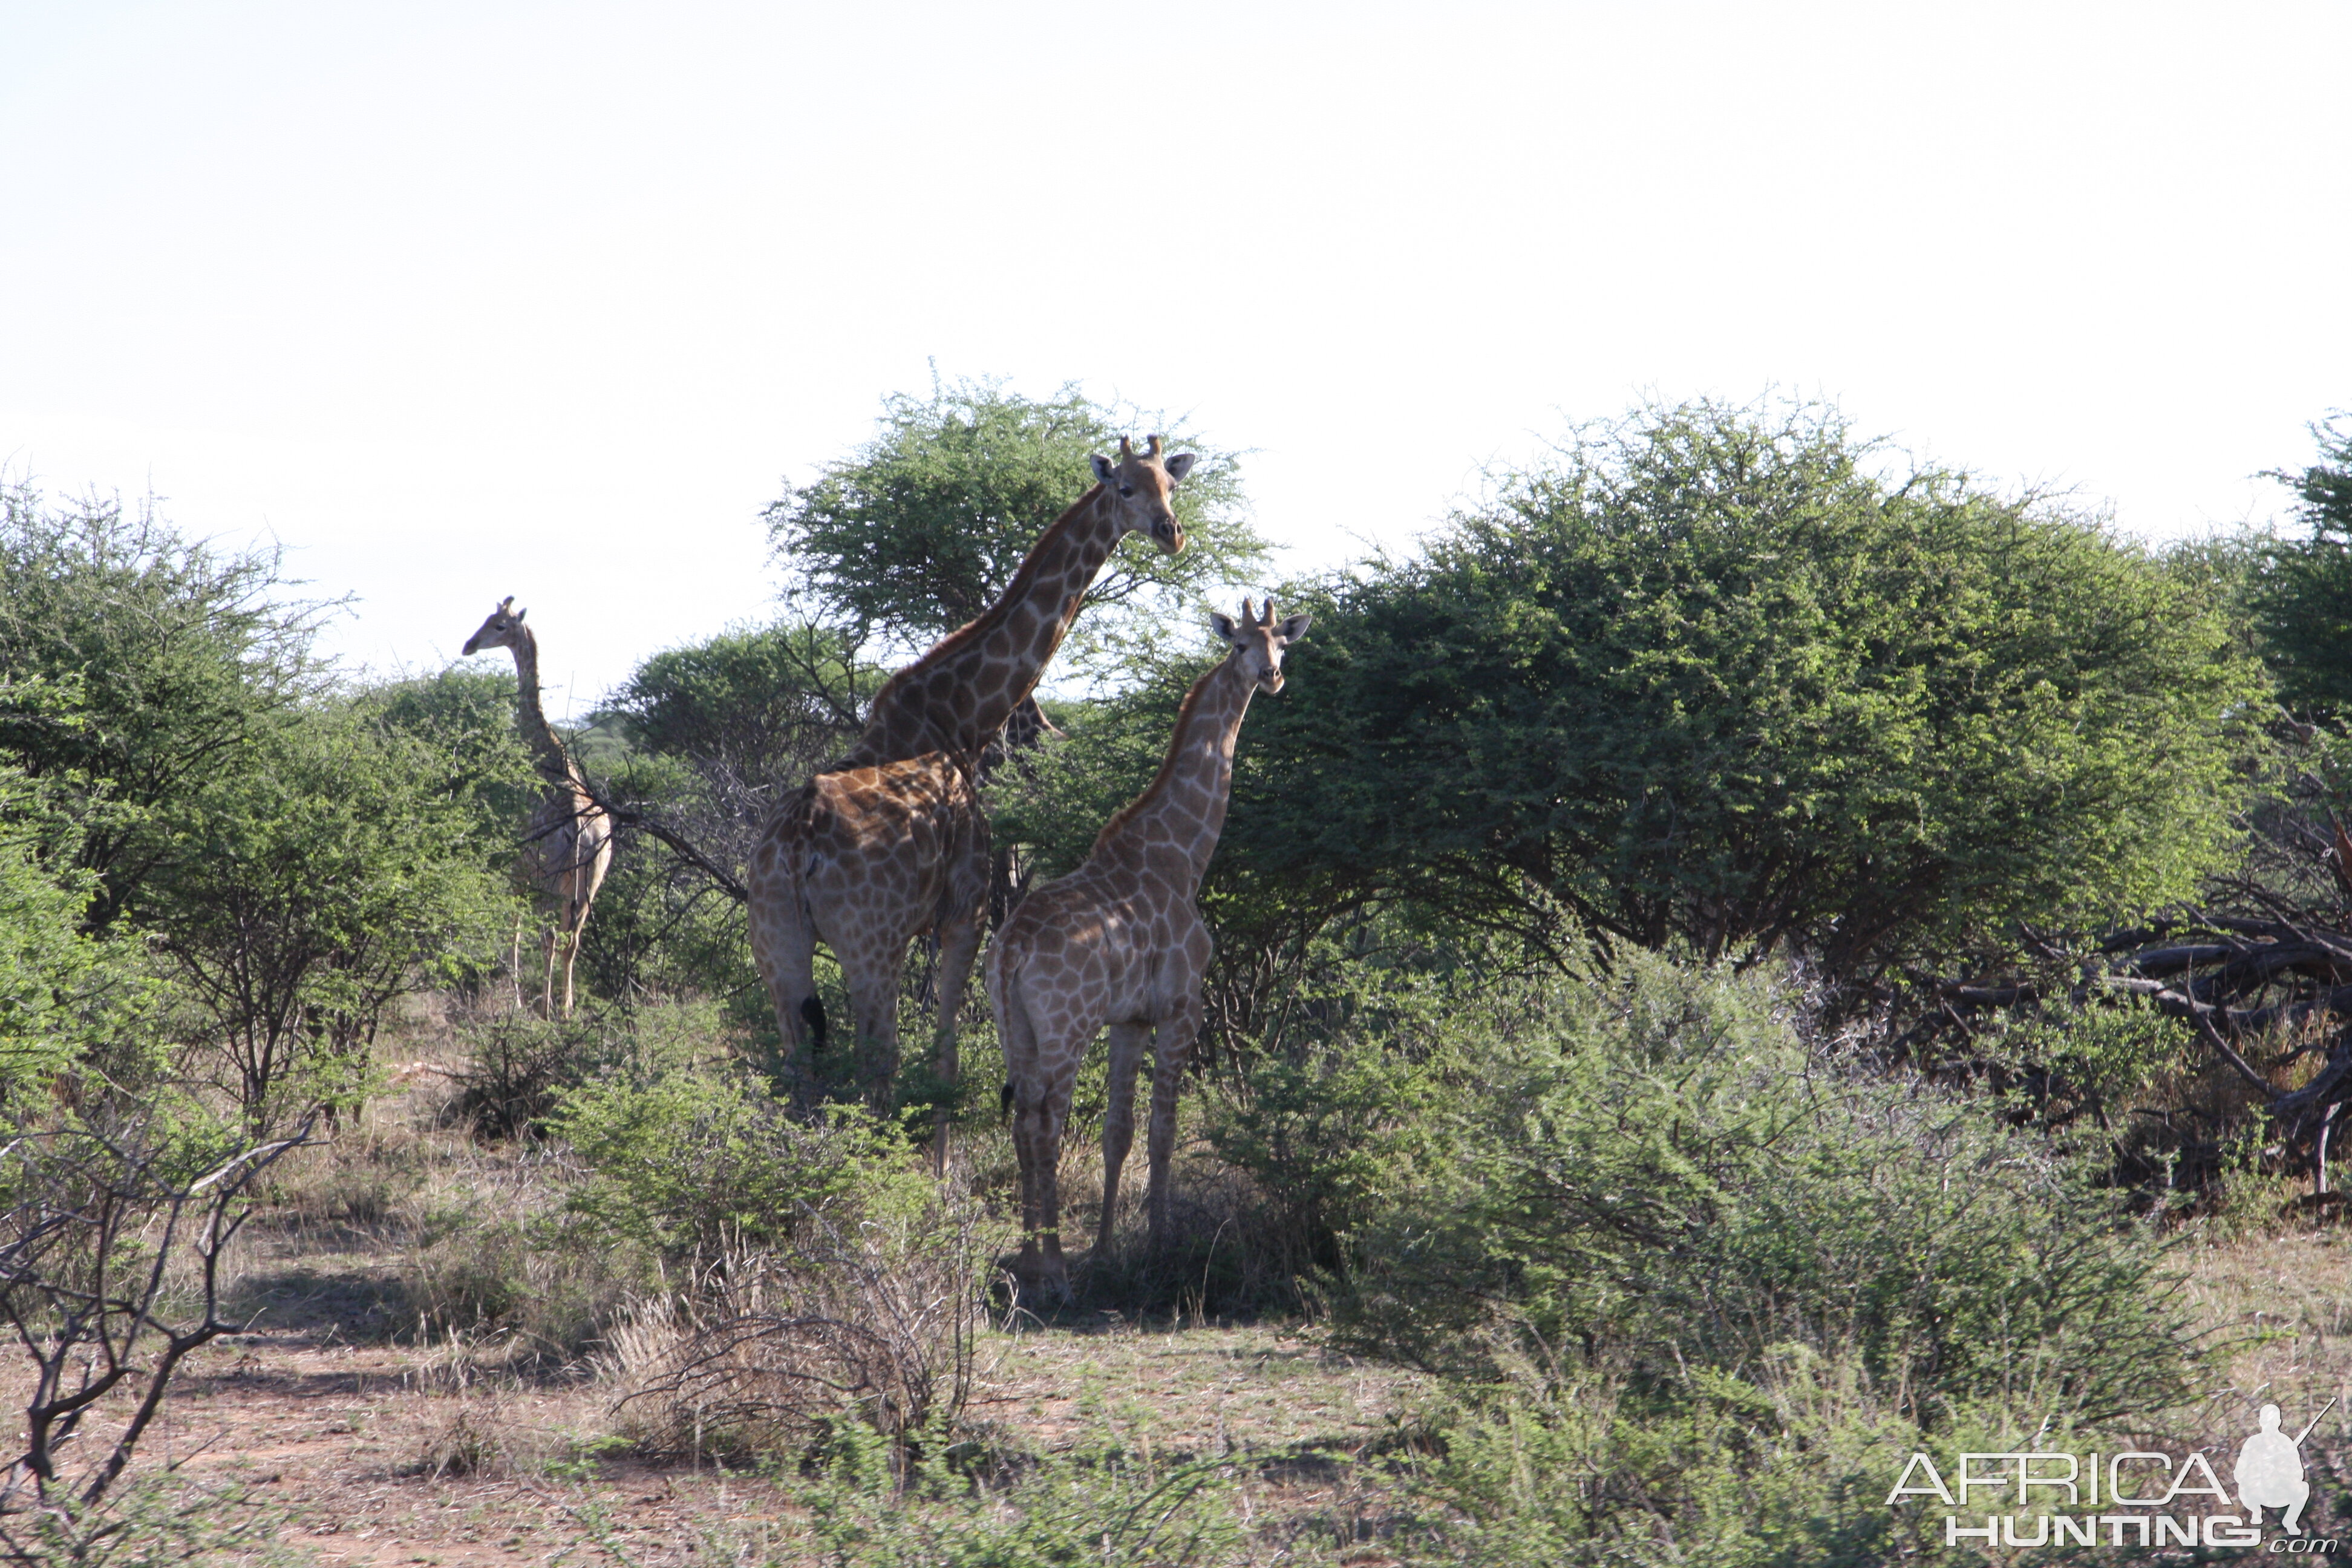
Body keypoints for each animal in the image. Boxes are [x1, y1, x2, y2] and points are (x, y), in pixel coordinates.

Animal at [461, 597, 616, 1020]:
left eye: (499, 625)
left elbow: (515, 927)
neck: (542, 751)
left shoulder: (519, 865)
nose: (468, 645)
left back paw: (546, 1009)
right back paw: (566, 1008)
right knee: (573, 939)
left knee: (550, 936)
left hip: (553, 877)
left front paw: (516, 1001)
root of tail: (581, 830)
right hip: (591, 880)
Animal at [743, 439, 1195, 1128]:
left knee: (798, 1064)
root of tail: (796, 849)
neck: (960, 718)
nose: (1171, 532)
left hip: (775, 944)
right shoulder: (967, 905)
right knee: (877, 1066)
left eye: (1171, 485)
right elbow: (948, 1059)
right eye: (1125, 488)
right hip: (870, 945)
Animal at [973, 595, 1307, 1298]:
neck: (1183, 856)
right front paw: (1157, 1245)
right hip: (1067, 1027)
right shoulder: (1183, 1008)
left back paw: (1032, 1259)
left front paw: (1106, 1248)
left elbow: (1118, 1132)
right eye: (1240, 645)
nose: (1271, 677)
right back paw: (1052, 1270)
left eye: (1283, 644)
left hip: (1012, 1025)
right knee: (1046, 1120)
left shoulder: (1129, 1020)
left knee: (1022, 1119)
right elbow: (1163, 1131)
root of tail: (1012, 949)